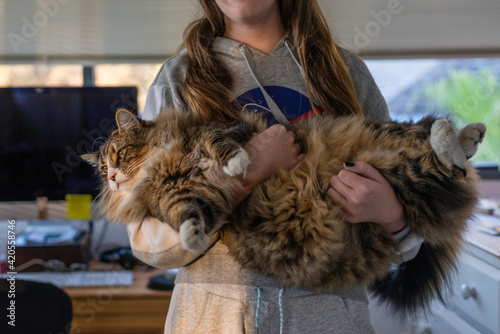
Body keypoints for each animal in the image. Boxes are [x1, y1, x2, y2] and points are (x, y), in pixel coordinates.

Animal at [84, 107, 486, 314]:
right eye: (103, 169)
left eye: (120, 154)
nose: (114, 178)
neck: (162, 163)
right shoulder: (175, 195)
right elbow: (188, 214)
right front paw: (193, 236)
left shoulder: (220, 132)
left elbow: (223, 146)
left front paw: (238, 163)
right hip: (403, 177)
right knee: (447, 167)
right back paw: (462, 139)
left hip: (389, 154)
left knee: (438, 147)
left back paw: (465, 132)